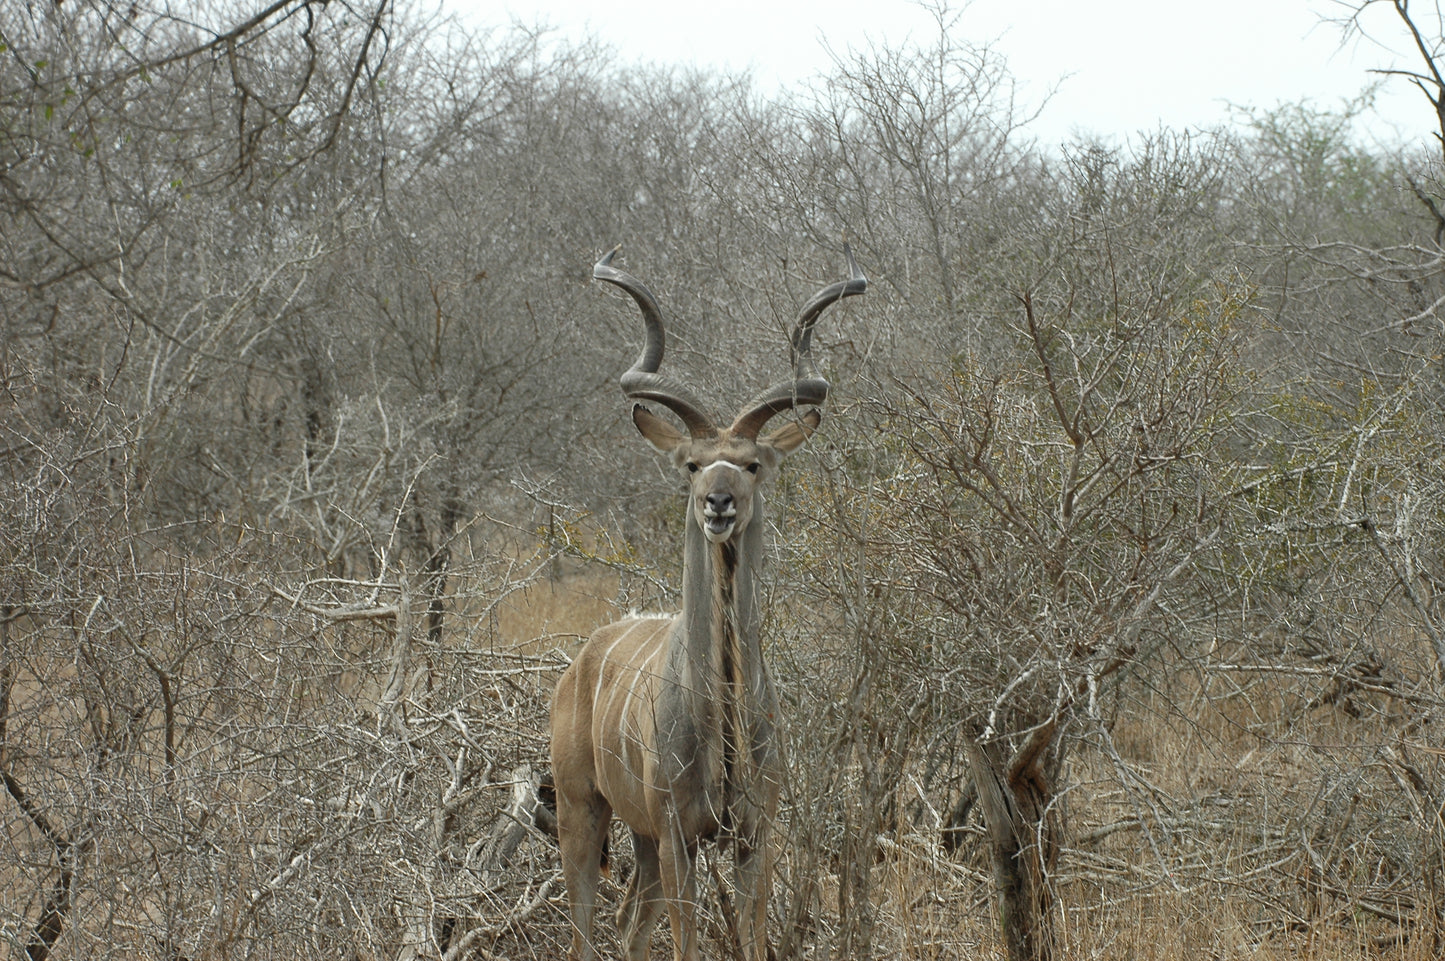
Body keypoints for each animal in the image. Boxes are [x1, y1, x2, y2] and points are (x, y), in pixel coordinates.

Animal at [549, 247, 867, 959]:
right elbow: (687, 941)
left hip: (639, 839)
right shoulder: (678, 832)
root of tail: (579, 663)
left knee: (628, 924)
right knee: (584, 924)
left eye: (751, 464)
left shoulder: (753, 835)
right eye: (693, 464)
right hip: (584, 811)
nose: (717, 504)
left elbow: (750, 938)